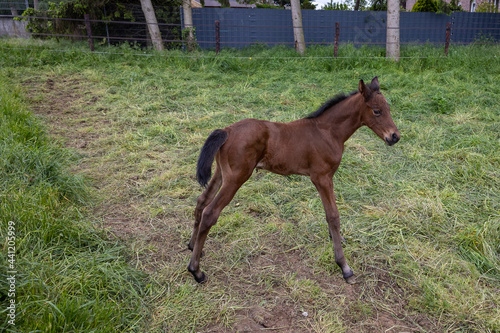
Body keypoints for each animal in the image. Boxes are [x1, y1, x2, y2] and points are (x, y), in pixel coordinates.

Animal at [188, 77, 398, 282]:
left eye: (389, 108)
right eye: (377, 111)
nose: (394, 136)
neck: (327, 132)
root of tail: (227, 130)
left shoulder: (326, 178)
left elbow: (328, 213)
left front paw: (337, 239)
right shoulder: (322, 178)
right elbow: (333, 215)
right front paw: (344, 267)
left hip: (221, 173)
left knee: (201, 201)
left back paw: (192, 245)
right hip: (236, 178)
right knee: (210, 213)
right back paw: (196, 270)